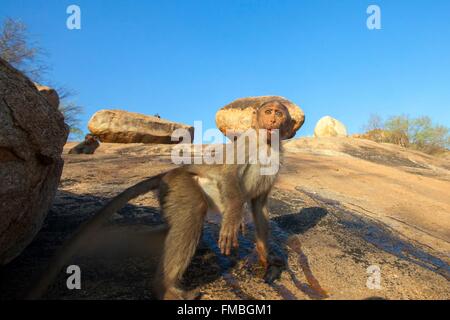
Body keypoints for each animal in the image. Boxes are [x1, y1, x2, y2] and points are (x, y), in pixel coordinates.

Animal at [29, 100, 296, 300]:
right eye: (269, 112)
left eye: (279, 113)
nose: (273, 121)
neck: (266, 144)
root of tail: (171, 172)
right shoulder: (246, 142)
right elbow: (229, 174)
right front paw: (232, 220)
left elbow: (259, 205)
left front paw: (266, 257)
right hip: (180, 185)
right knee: (192, 213)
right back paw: (164, 288)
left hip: (171, 194)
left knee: (172, 228)